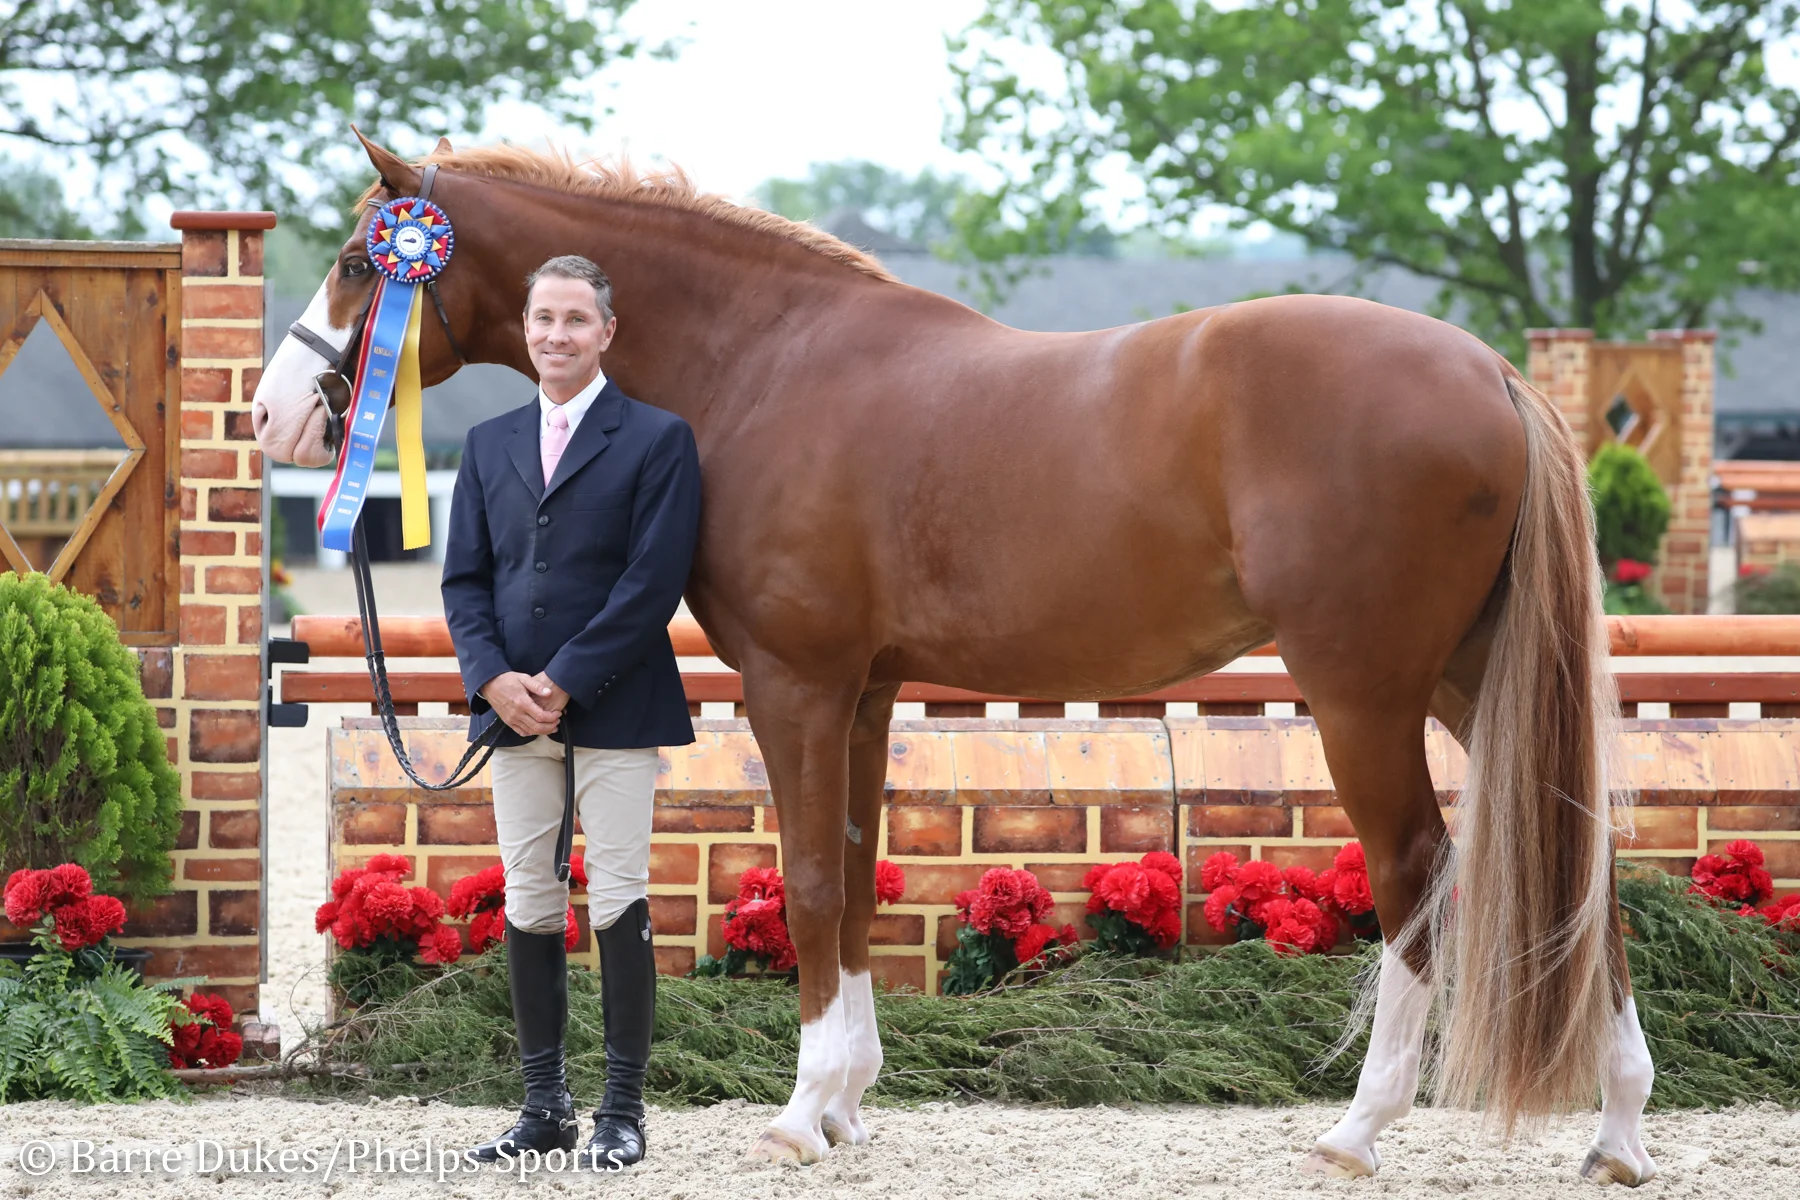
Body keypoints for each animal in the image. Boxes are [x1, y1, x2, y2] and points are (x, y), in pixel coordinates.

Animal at [254, 134, 1657, 1185]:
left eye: (360, 259)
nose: (270, 417)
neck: (768, 364)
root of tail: (1491, 374)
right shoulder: (868, 690)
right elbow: (859, 878)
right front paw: (847, 1102)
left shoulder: (798, 682)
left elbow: (812, 880)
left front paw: (799, 1113)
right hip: (1471, 679)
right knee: (1580, 851)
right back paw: (1620, 1129)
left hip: (1364, 691)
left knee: (1418, 872)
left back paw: (1361, 1129)